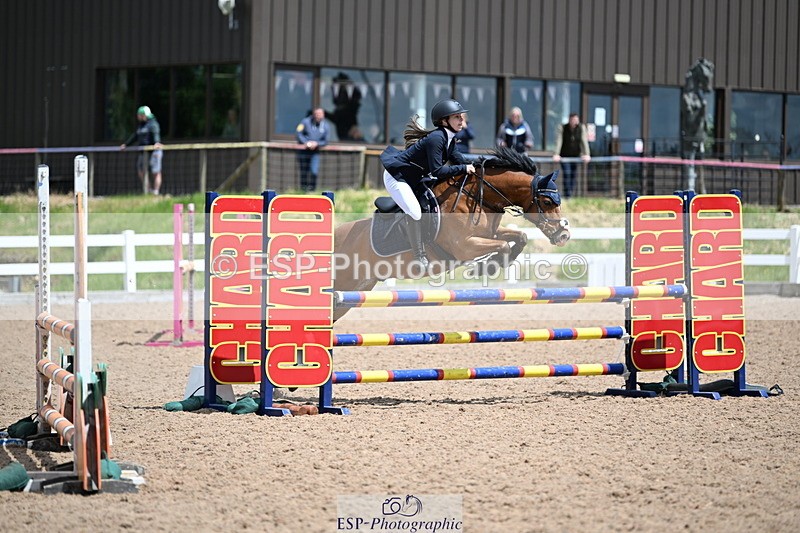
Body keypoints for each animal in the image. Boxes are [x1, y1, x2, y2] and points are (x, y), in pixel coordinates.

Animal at [332, 147, 571, 320]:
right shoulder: (465, 246)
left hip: (358, 287)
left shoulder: (489, 234)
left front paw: (495, 264)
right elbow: (503, 245)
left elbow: (519, 237)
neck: (476, 197)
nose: (563, 235)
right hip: (344, 282)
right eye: (547, 202)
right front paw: (487, 267)